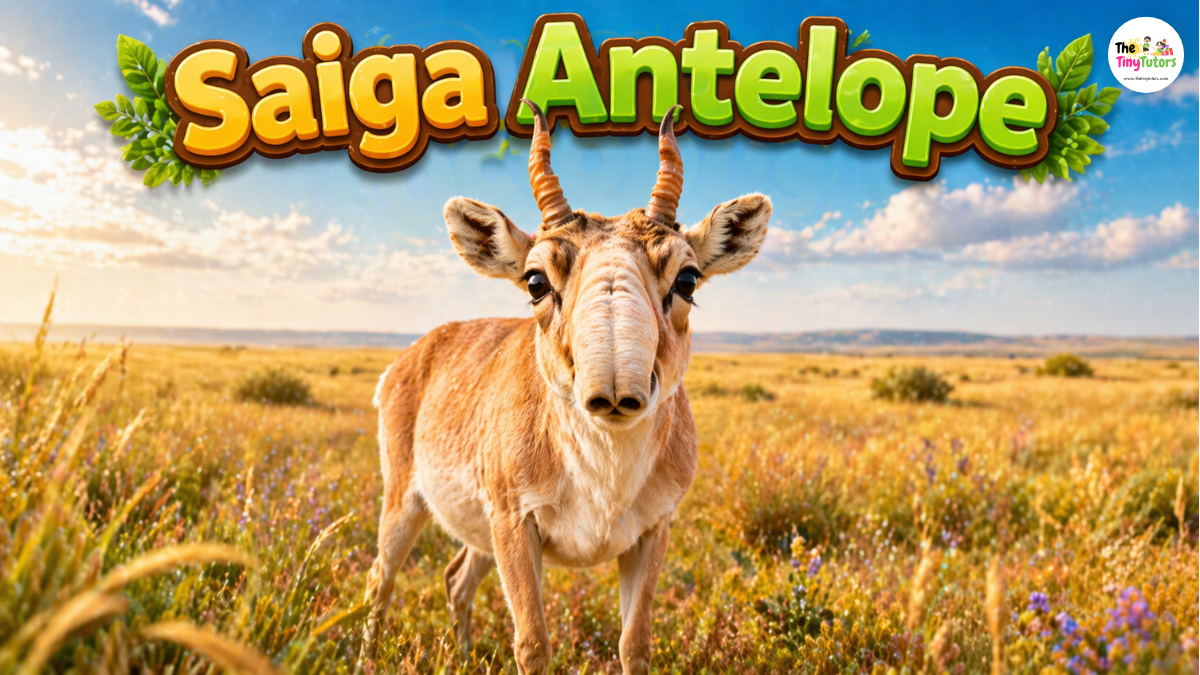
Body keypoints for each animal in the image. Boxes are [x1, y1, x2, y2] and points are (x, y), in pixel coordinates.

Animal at [360, 101, 771, 674]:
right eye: (536, 281)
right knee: (381, 577)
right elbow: (533, 642)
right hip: (405, 502)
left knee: (456, 579)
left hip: (477, 536)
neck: (605, 477)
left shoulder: (653, 531)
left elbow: (634, 643)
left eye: (687, 279)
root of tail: (410, 357)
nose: (615, 389)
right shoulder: (514, 523)